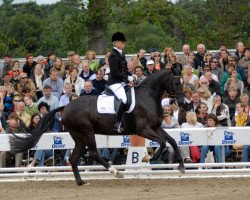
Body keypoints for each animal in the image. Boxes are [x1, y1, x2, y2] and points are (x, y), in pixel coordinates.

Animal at [10, 69, 186, 186]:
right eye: (177, 82)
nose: (183, 102)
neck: (148, 96)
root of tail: (66, 107)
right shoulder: (143, 129)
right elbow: (163, 142)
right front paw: (149, 158)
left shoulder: (156, 127)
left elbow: (171, 141)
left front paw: (181, 166)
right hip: (87, 131)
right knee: (93, 152)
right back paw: (115, 172)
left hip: (79, 136)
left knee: (74, 158)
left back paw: (81, 182)